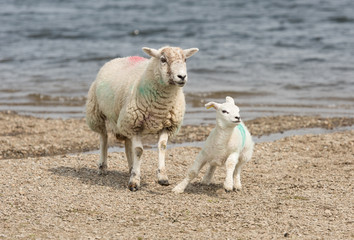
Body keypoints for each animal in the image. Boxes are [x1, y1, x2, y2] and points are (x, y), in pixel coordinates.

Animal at [84, 45, 198, 191]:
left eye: (185, 59)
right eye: (163, 59)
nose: (182, 76)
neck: (160, 106)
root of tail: (122, 58)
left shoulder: (166, 125)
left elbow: (162, 146)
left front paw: (162, 177)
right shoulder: (135, 124)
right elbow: (139, 150)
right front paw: (134, 182)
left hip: (125, 122)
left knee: (127, 144)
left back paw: (131, 167)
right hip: (97, 113)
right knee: (104, 138)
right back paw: (102, 166)